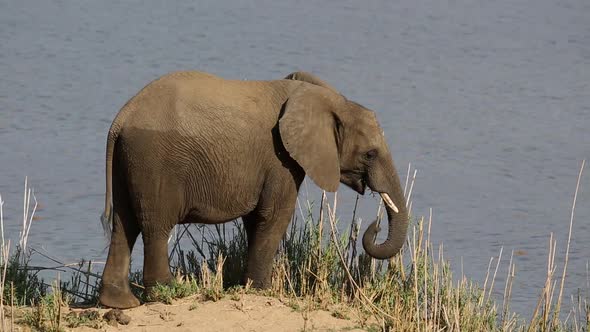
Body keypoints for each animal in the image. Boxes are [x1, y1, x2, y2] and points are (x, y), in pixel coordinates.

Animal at [99, 69, 410, 308]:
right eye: (370, 154)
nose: (374, 225)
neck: (328, 100)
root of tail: (120, 120)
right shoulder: (280, 158)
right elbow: (274, 216)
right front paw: (262, 291)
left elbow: (256, 219)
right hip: (155, 162)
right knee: (155, 226)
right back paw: (166, 294)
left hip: (130, 160)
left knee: (124, 224)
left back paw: (121, 303)